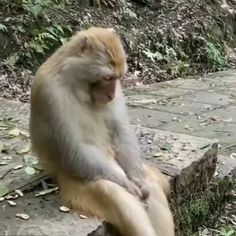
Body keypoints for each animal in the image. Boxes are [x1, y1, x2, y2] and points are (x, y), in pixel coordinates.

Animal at [29, 26, 174, 235]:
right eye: (107, 77)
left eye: (117, 78)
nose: (111, 94)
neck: (74, 81)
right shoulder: (50, 93)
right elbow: (75, 149)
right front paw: (130, 185)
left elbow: (121, 131)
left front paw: (137, 181)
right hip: (77, 187)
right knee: (113, 192)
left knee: (151, 186)